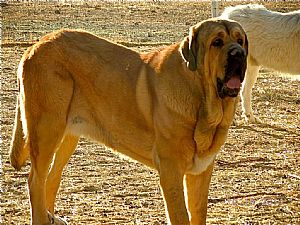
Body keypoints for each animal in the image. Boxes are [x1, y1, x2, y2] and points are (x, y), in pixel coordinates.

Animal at [9, 18, 248, 224]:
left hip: (66, 137)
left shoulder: (200, 171)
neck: (201, 97)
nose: (239, 54)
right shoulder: (171, 170)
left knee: (50, 180)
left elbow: (198, 213)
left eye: (240, 40)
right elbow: (180, 216)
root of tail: (35, 45)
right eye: (217, 42)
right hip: (47, 131)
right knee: (35, 181)